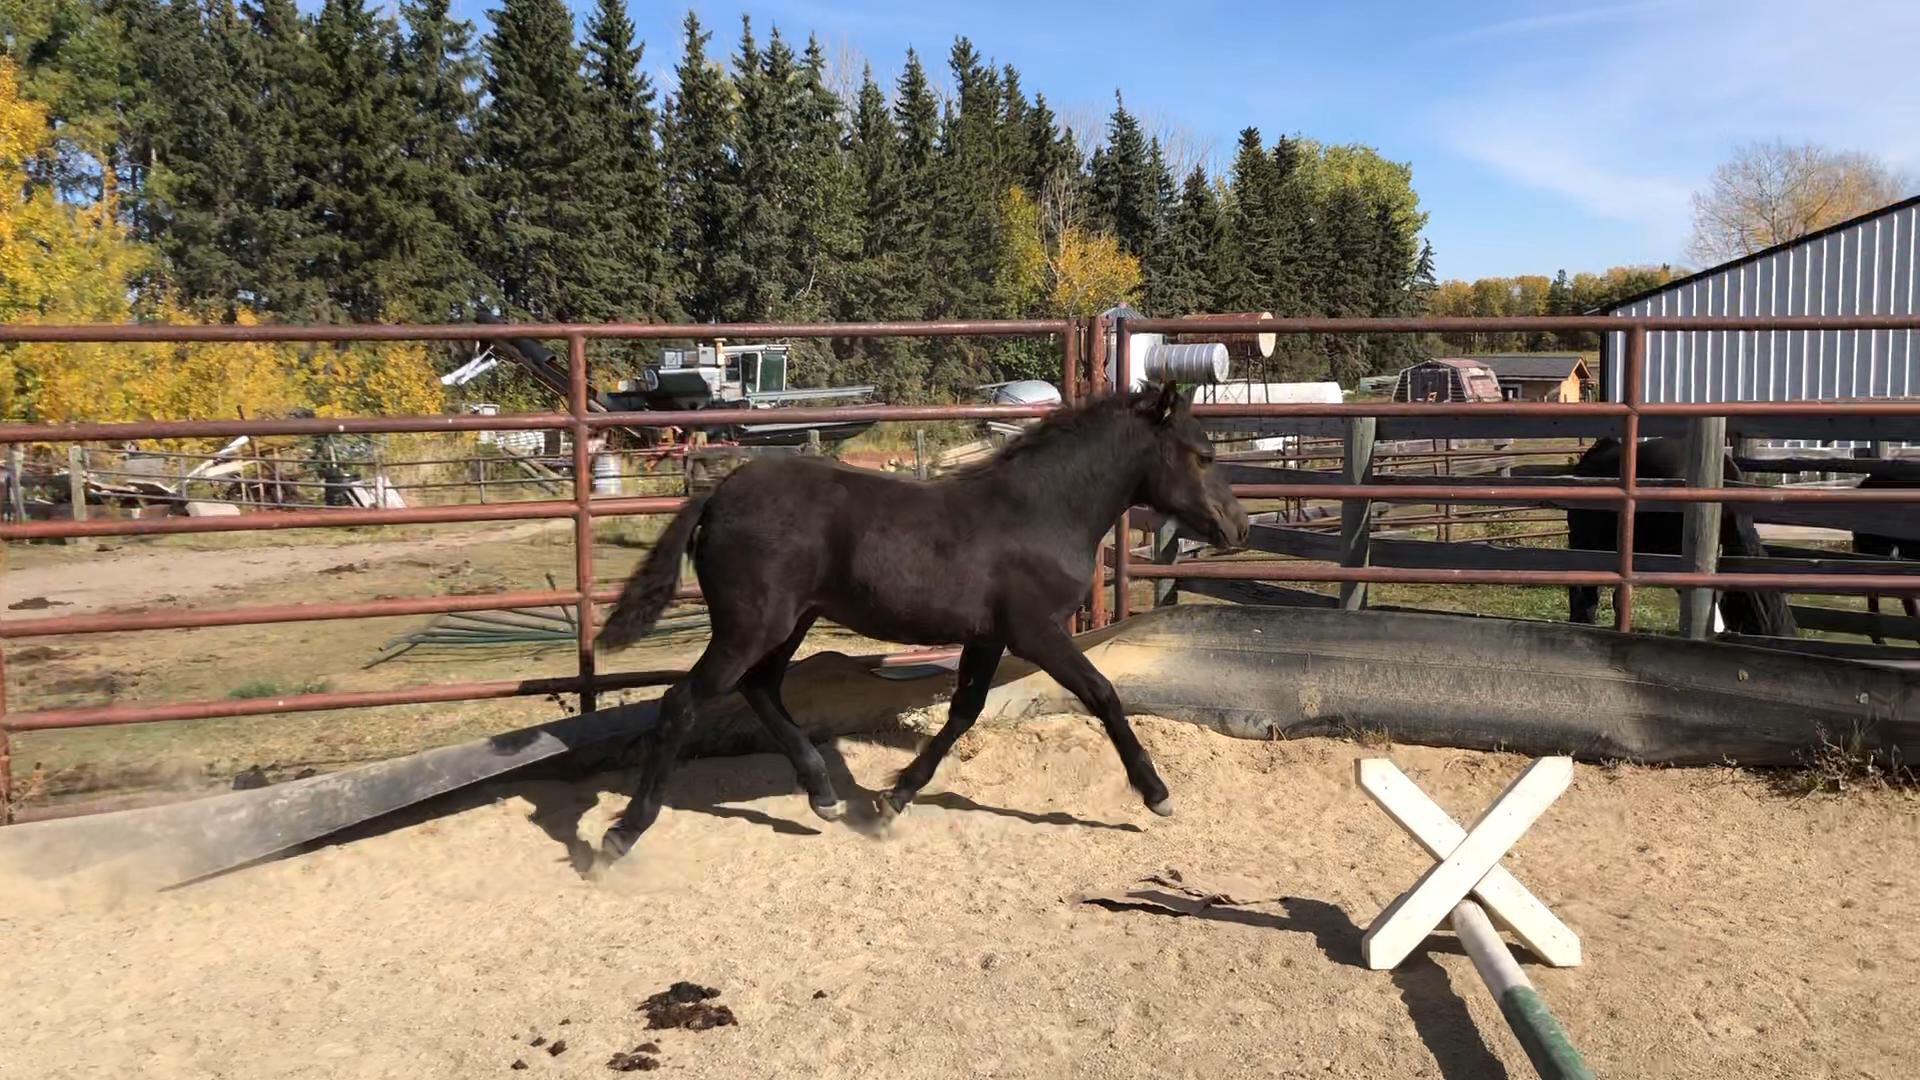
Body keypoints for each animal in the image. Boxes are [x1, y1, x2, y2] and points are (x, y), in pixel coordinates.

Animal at [590, 383, 1250, 868]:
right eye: (1205, 456)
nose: (1238, 526)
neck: (1039, 512)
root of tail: (718, 494)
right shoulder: (1036, 631)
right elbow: (1103, 694)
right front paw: (1157, 794)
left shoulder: (988, 636)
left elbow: (963, 712)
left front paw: (893, 800)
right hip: (750, 625)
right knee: (682, 702)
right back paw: (622, 835)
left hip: (789, 623)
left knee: (761, 688)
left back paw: (824, 796)